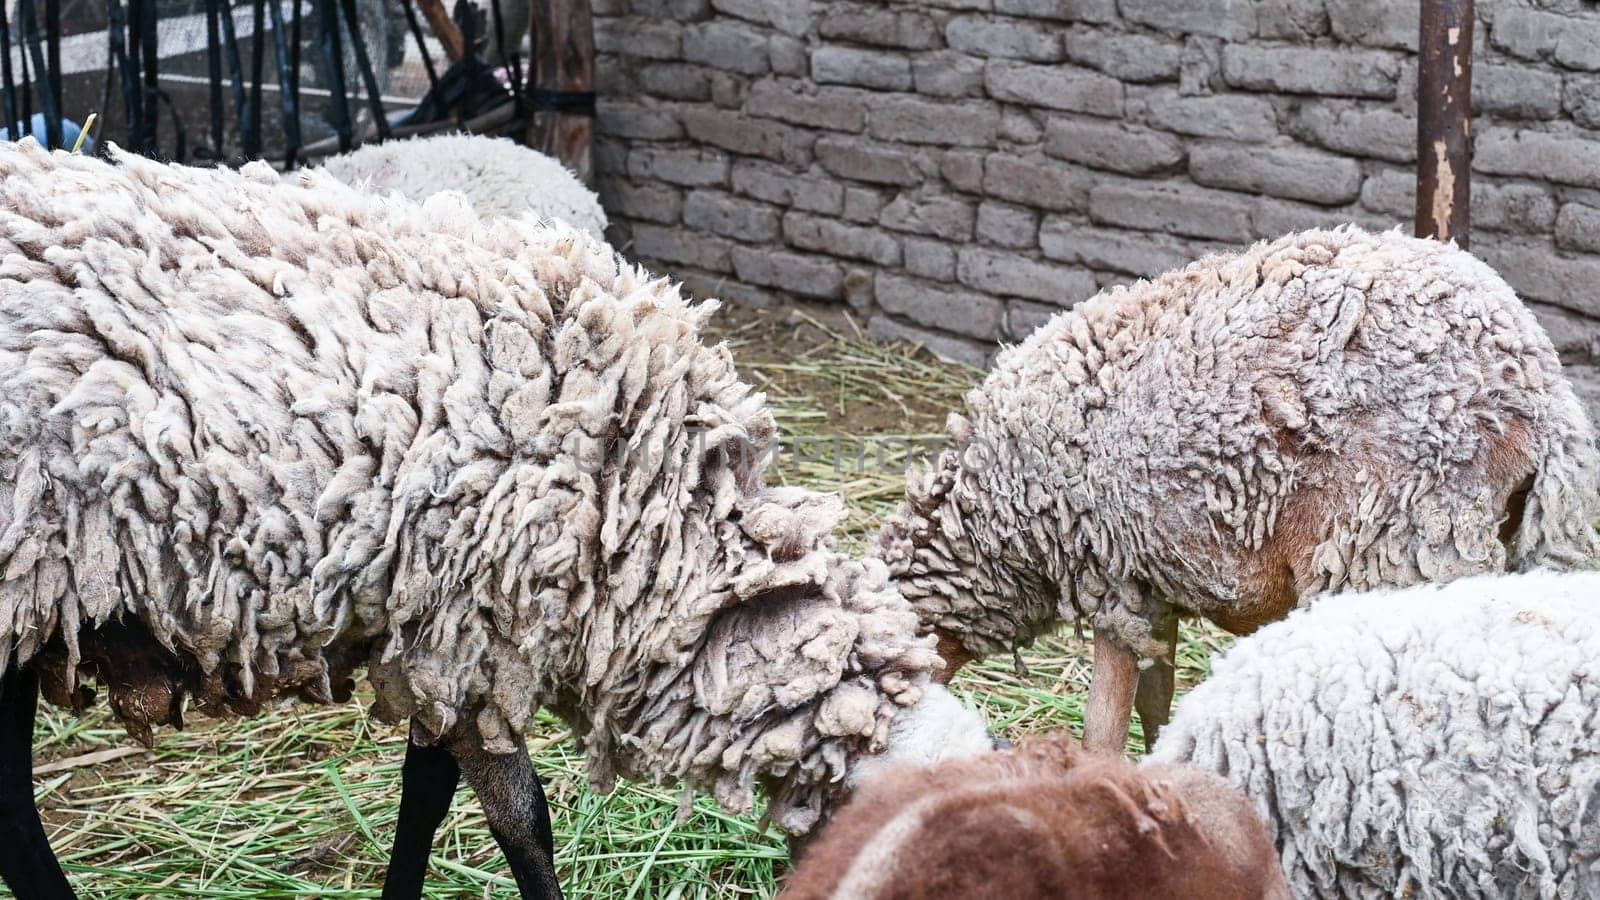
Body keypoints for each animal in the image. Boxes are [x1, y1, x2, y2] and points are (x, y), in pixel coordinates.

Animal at [876, 224, 1600, 749]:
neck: (992, 526)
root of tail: (1538, 388)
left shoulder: (1109, 575)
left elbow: (1102, 727)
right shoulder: (1155, 585)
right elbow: (1156, 703)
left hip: (1399, 552)